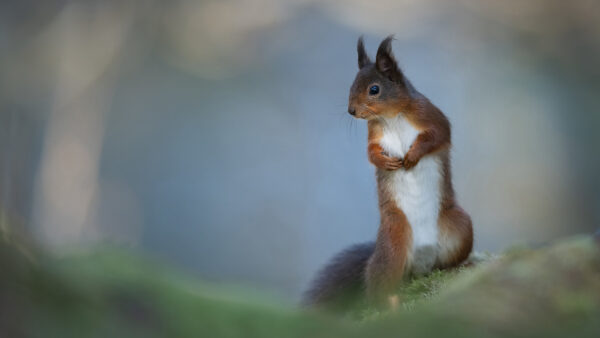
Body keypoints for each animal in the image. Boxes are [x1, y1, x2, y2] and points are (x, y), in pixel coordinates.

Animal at [304, 35, 474, 310]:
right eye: (351, 85)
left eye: (374, 89)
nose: (351, 111)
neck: (391, 117)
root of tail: (420, 263)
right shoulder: (374, 134)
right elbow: (371, 153)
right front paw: (386, 162)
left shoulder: (430, 115)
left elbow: (439, 135)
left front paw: (413, 155)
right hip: (393, 243)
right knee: (379, 287)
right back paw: (391, 302)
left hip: (460, 227)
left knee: (444, 264)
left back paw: (460, 266)